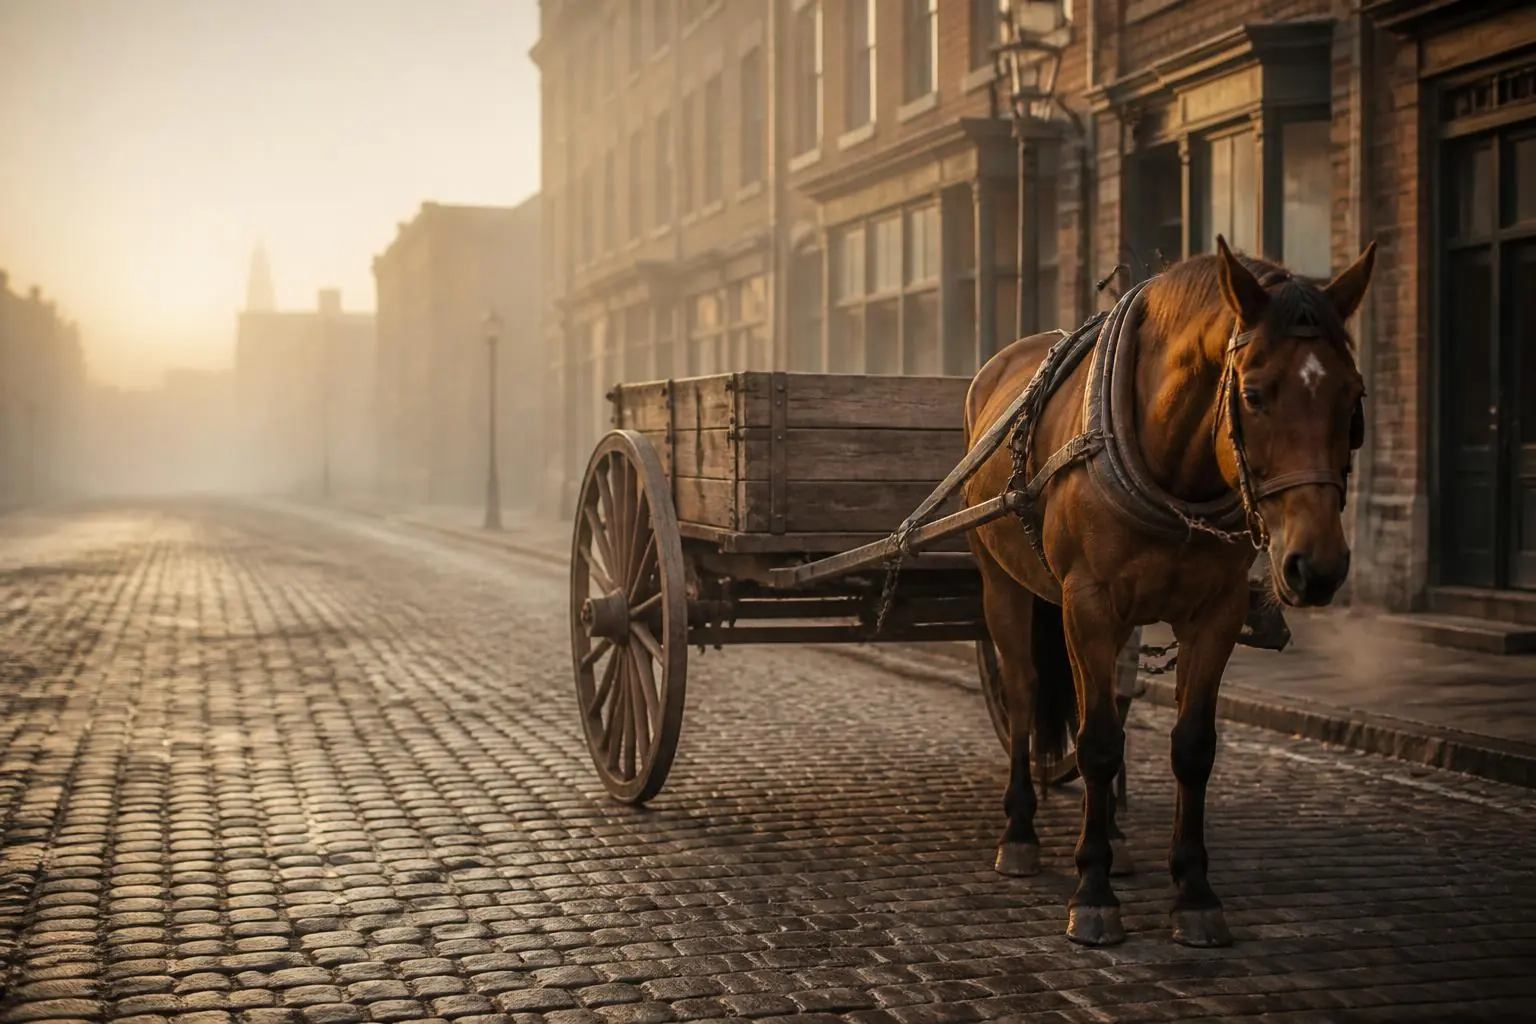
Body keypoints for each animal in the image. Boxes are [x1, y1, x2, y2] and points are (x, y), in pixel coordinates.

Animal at [961, 236, 1375, 947]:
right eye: (1254, 394)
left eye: (1352, 398)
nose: (1317, 567)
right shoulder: (1088, 603)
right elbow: (1096, 742)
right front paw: (1093, 894)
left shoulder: (1215, 613)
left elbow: (1190, 746)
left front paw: (1194, 893)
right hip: (1002, 583)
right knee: (1022, 694)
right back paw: (1020, 833)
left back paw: (1116, 839)